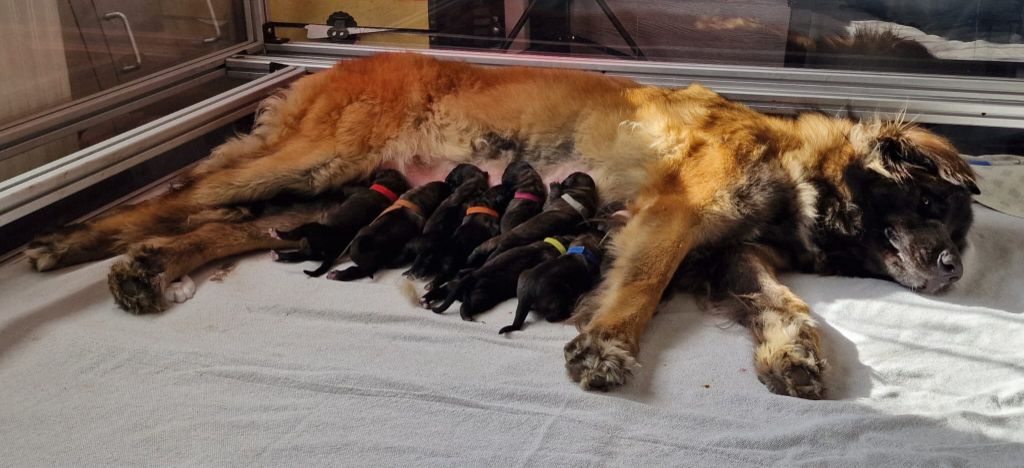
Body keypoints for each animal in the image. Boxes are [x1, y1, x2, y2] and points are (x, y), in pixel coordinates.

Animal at [270, 168, 409, 274]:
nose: (374, 171)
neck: (386, 191)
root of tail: (330, 253)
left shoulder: (354, 190)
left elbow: (345, 187)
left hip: (313, 229)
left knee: (295, 234)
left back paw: (276, 234)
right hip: (313, 250)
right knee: (299, 254)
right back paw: (277, 255)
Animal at [419, 233, 573, 321]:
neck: (552, 245)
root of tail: (472, 277)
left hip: (454, 286)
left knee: (441, 290)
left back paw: (425, 300)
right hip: (481, 297)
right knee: (465, 306)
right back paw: (467, 316)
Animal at [466, 171, 598, 266]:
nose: (563, 181)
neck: (584, 191)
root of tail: (504, 245)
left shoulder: (552, 202)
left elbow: (551, 198)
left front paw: (555, 186)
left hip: (493, 242)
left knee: (481, 248)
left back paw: (471, 257)